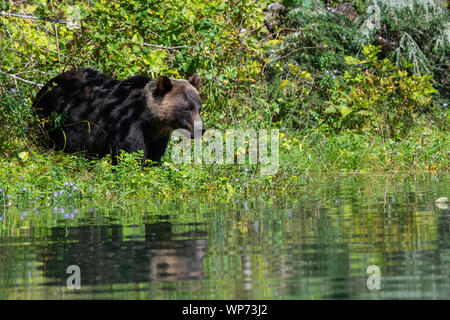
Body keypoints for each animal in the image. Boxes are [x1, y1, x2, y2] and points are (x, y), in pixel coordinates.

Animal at [32, 69, 206, 166]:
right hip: (52, 120)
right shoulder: (126, 124)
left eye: (199, 107)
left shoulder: (158, 137)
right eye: (186, 108)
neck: (149, 121)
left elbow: (153, 158)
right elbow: (131, 155)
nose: (201, 129)